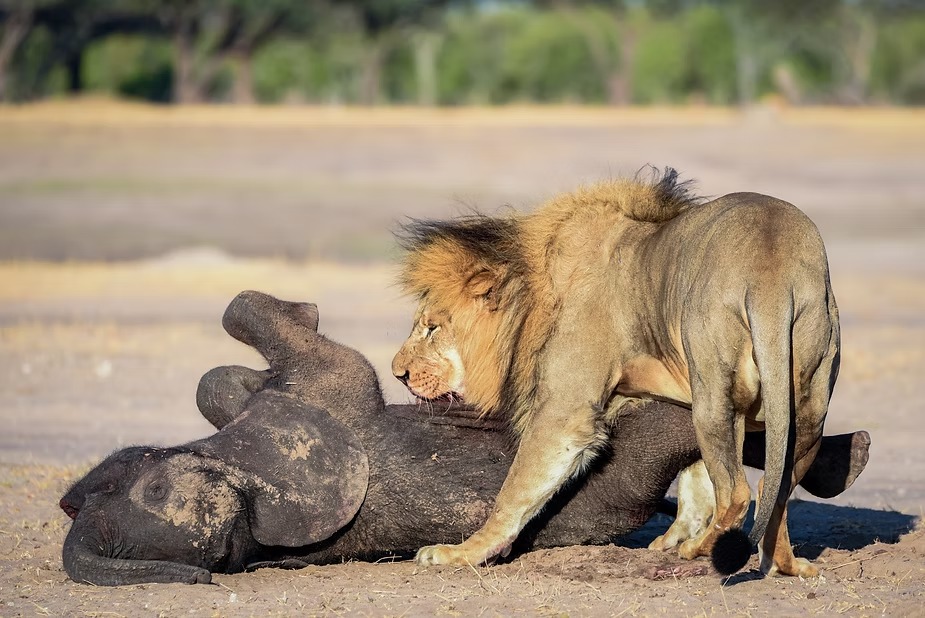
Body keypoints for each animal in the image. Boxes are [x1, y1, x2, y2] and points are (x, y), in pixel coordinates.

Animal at [392, 168, 840, 577]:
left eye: (432, 327)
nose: (399, 373)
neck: (539, 290)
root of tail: (771, 270)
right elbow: (696, 480)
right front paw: (676, 532)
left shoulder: (565, 411)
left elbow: (515, 490)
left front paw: (461, 552)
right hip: (806, 404)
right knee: (772, 488)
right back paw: (786, 564)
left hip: (712, 391)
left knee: (737, 493)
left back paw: (699, 551)